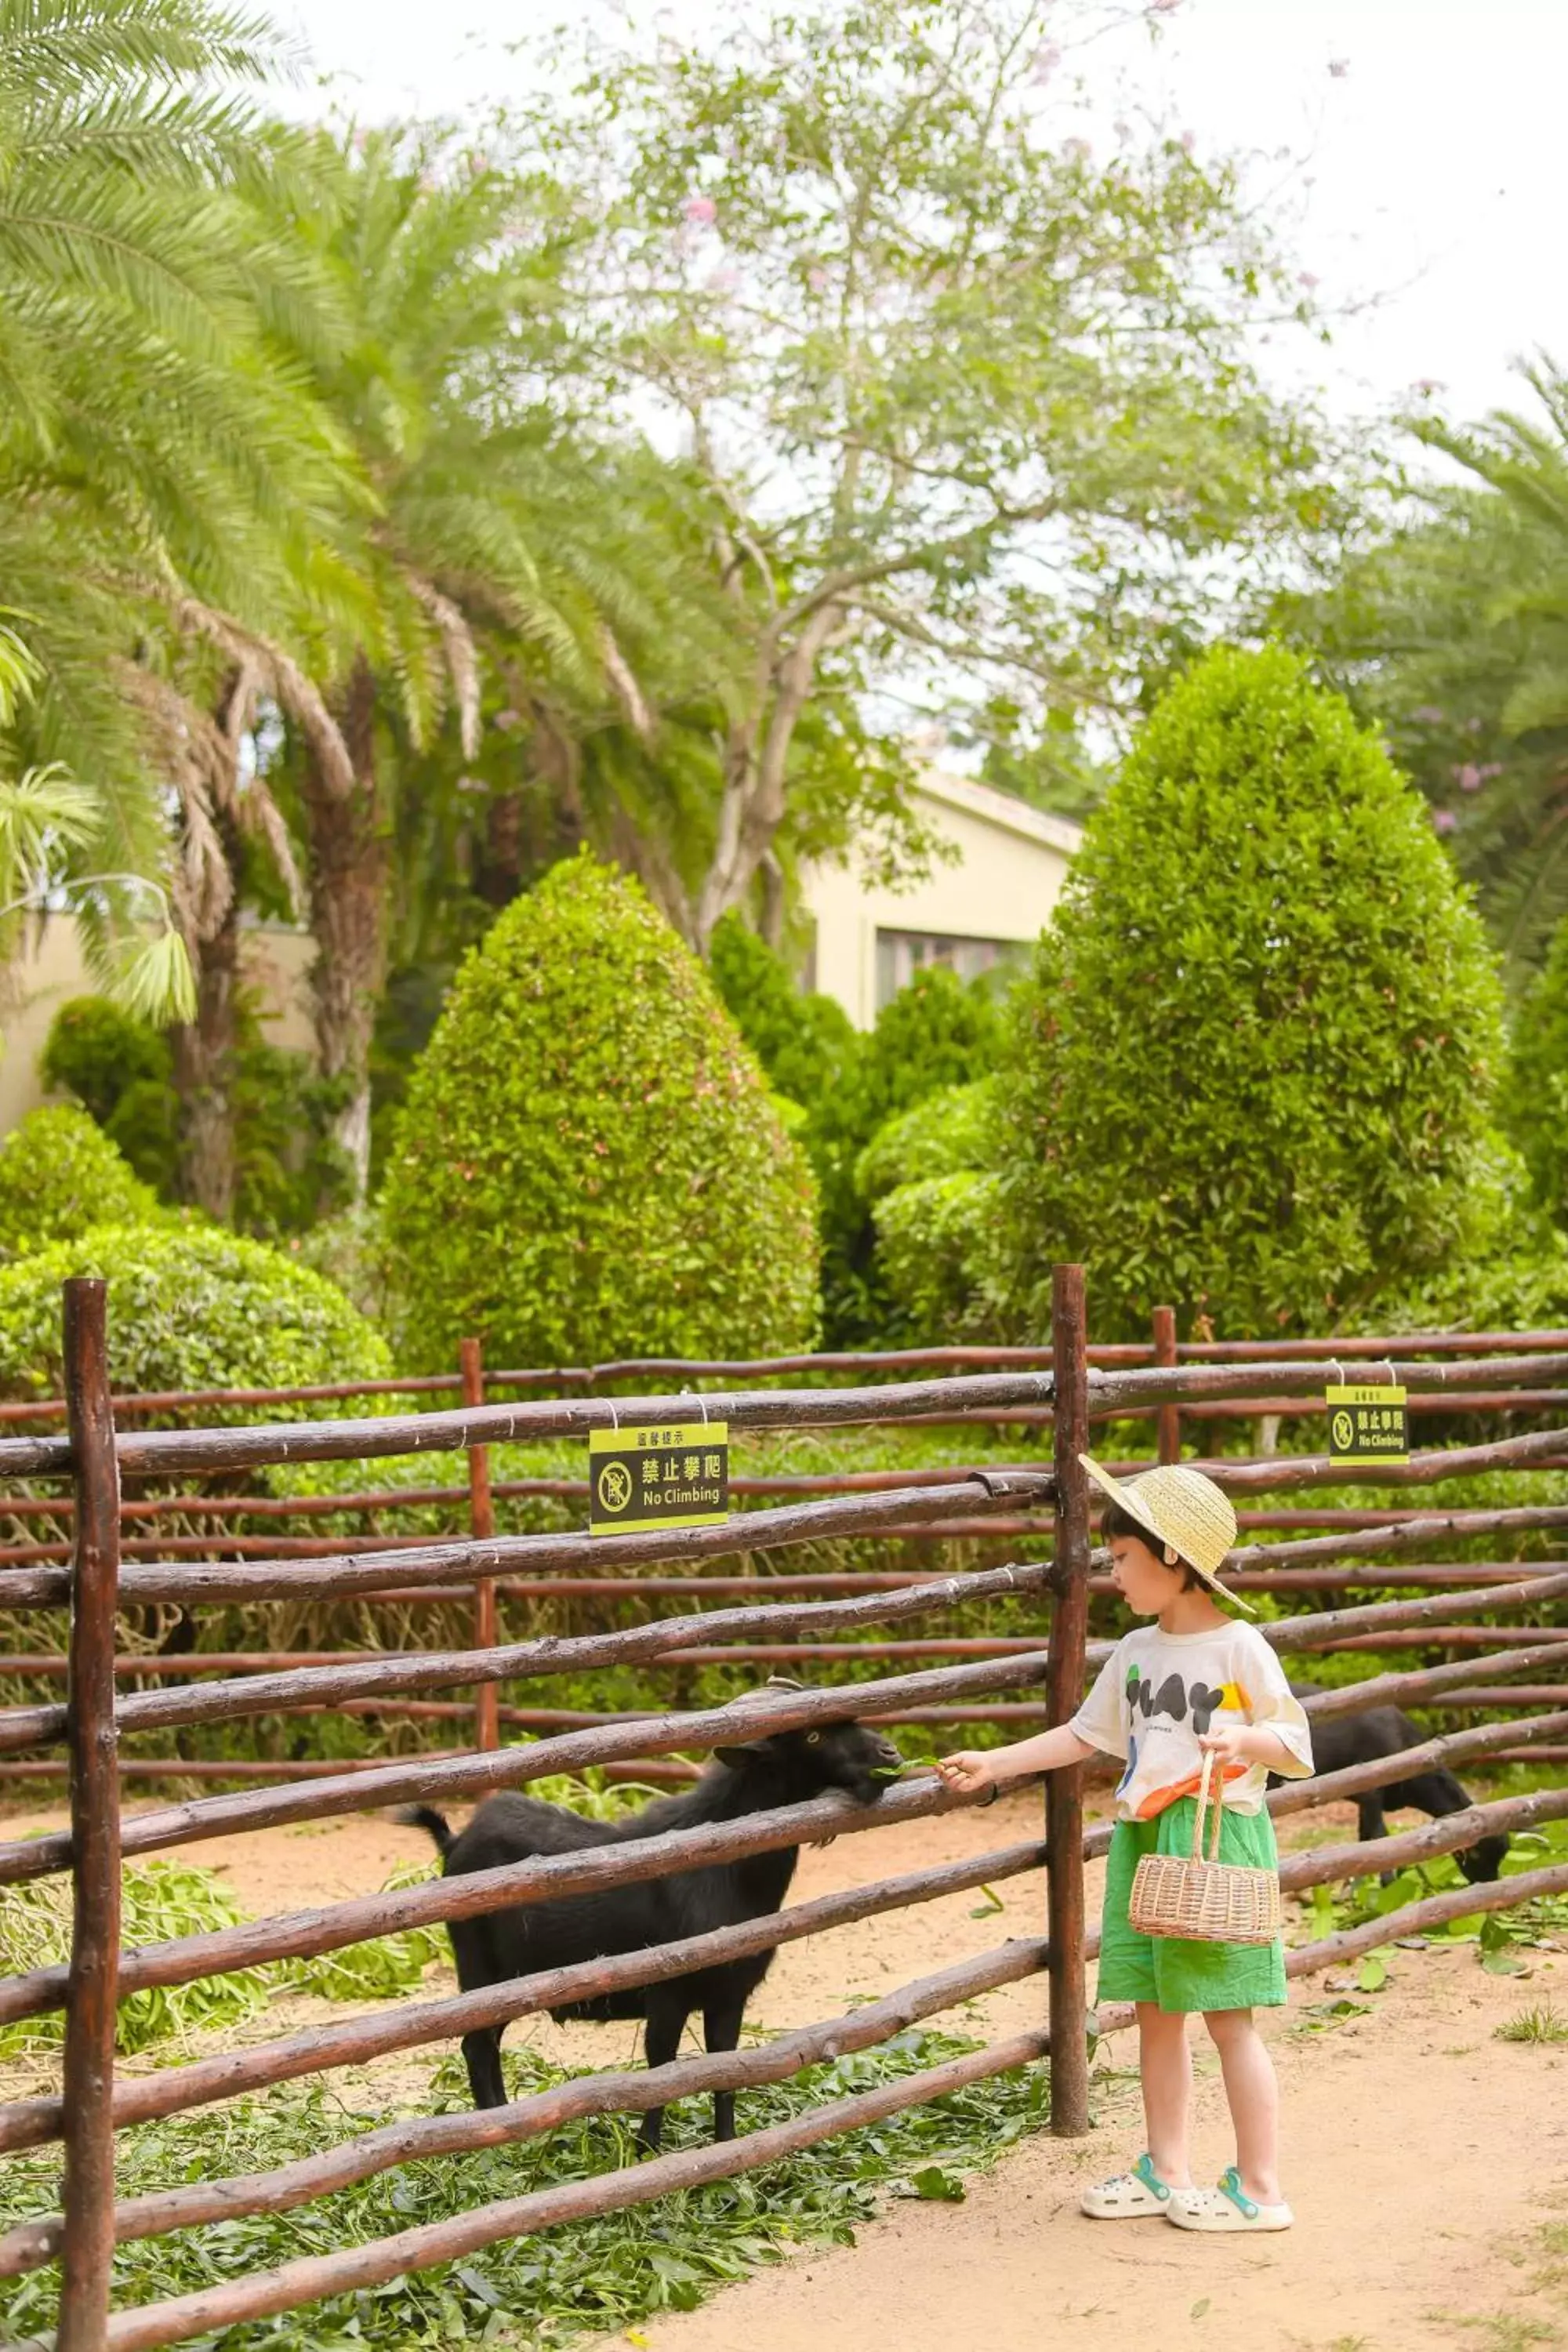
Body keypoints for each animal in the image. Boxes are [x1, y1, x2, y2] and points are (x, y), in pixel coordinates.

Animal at [399, 1712, 902, 2154]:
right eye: (814, 1736)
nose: (891, 1753)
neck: (727, 1873)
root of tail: (455, 1843)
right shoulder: (667, 1992)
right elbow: (662, 2065)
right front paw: (646, 2149)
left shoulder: (729, 1994)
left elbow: (727, 2066)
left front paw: (727, 2143)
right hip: (483, 1971)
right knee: (478, 2045)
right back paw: (498, 2137)